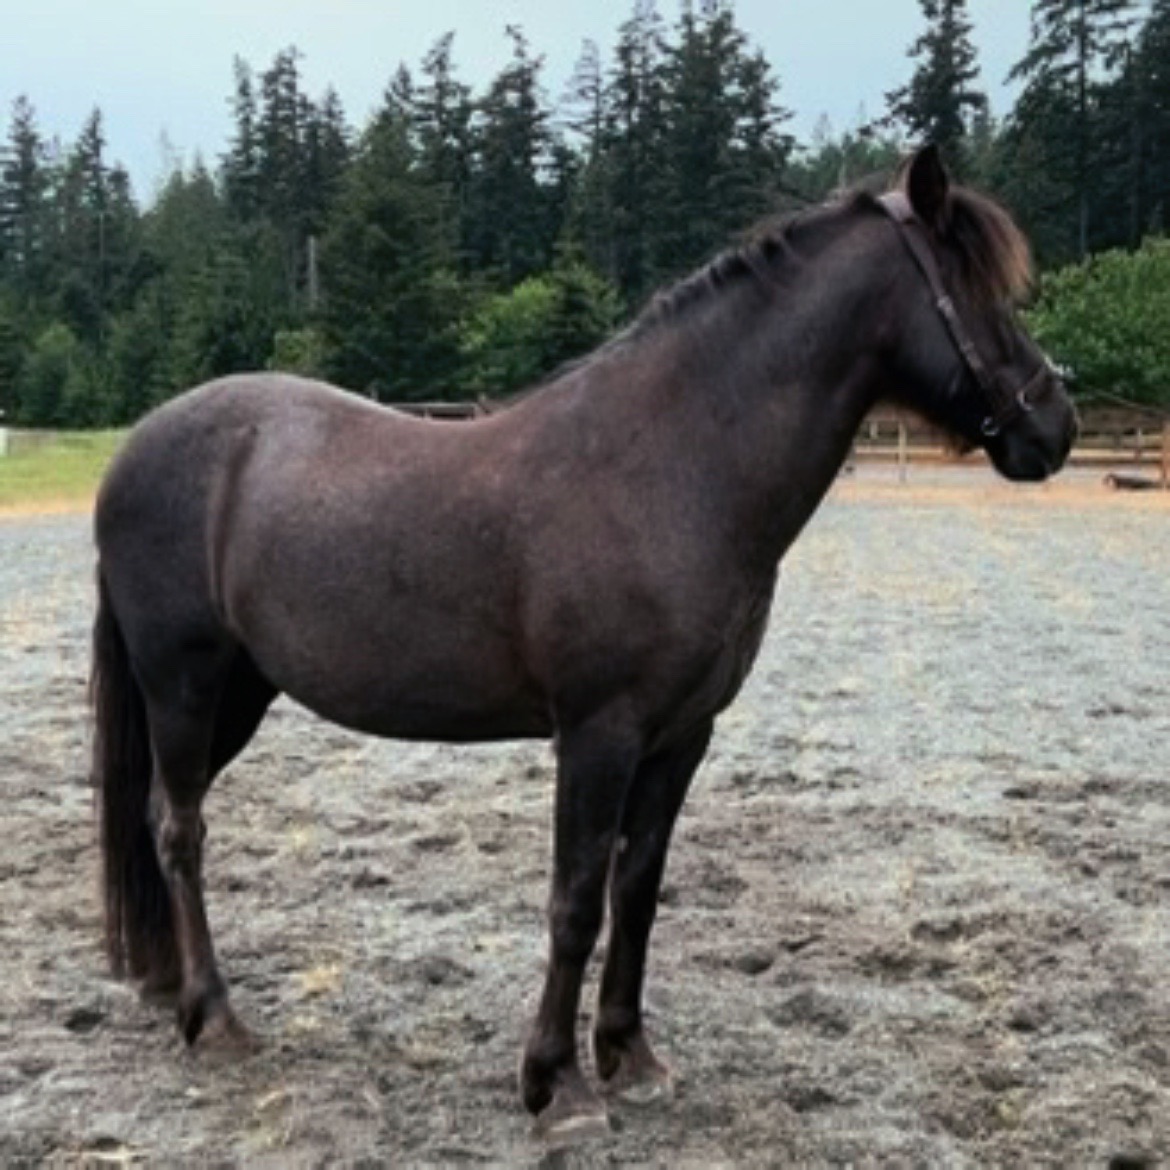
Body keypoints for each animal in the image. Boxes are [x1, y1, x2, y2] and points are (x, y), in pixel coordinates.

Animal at [90, 147, 1077, 1143]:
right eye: (980, 290)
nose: (1054, 425)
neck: (671, 468)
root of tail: (137, 450)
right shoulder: (598, 734)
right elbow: (575, 900)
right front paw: (555, 1084)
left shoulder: (681, 737)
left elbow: (636, 891)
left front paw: (630, 1057)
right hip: (183, 685)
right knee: (180, 829)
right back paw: (215, 1017)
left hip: (239, 695)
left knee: (157, 819)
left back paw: (171, 989)